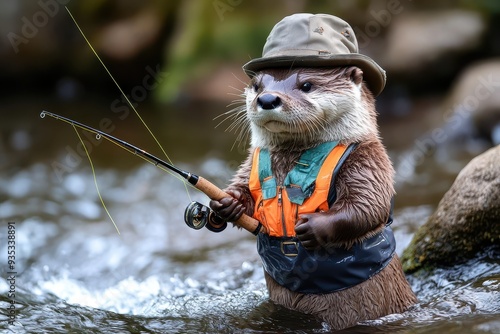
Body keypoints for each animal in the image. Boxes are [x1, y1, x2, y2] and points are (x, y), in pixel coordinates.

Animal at [206, 13, 414, 332]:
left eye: (306, 85)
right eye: (257, 85)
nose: (268, 99)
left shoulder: (369, 160)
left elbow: (369, 204)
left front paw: (313, 227)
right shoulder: (249, 162)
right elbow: (243, 190)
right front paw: (227, 203)